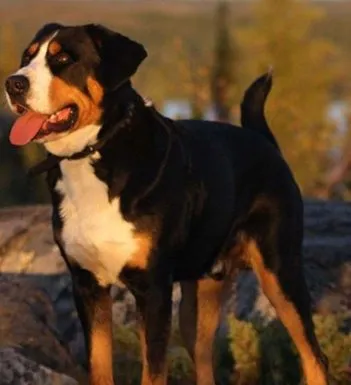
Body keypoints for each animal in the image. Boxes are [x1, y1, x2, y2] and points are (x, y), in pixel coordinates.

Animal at [5, 23, 328, 384]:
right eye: (28, 57)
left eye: (63, 58)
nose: (13, 83)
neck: (96, 154)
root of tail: (263, 141)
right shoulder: (88, 286)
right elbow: (100, 367)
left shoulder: (154, 289)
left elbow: (154, 370)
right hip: (197, 301)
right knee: (204, 360)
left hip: (280, 273)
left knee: (315, 358)